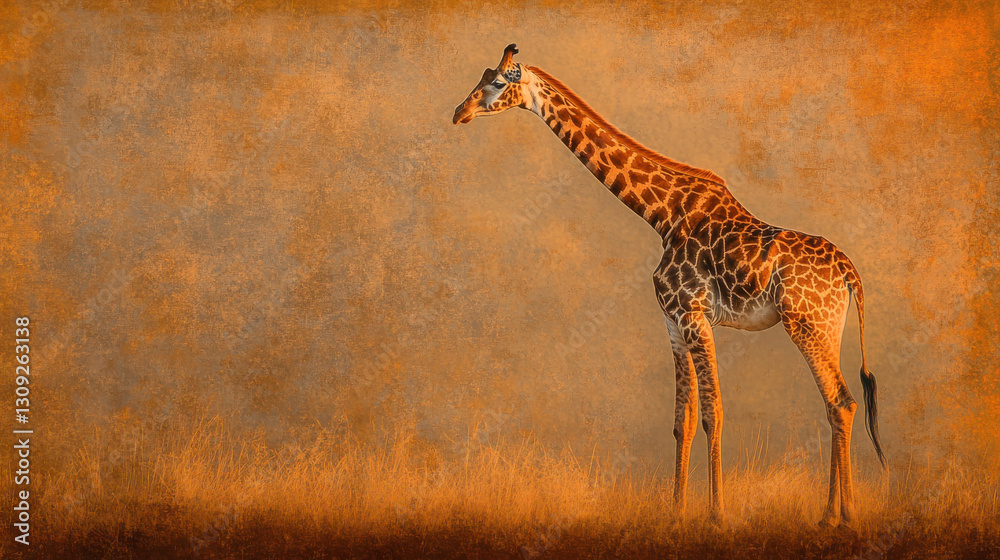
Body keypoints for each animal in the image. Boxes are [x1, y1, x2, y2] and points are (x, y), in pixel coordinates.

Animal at [453, 45, 886, 527]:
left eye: (496, 82)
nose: (458, 112)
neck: (661, 213)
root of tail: (850, 273)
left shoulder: (694, 314)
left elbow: (713, 413)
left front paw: (716, 515)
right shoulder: (673, 322)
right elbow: (684, 417)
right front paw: (676, 512)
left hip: (808, 324)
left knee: (841, 401)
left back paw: (843, 515)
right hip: (828, 327)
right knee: (838, 403)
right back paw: (833, 513)